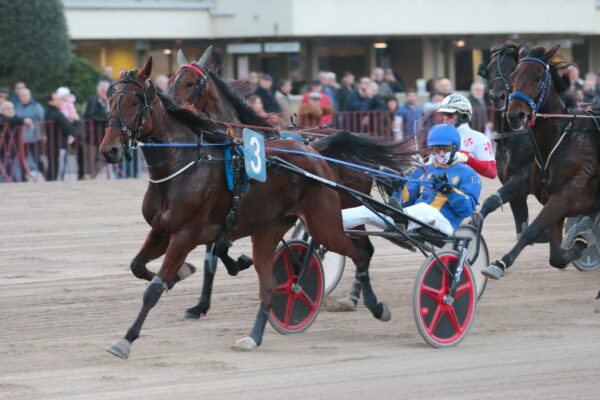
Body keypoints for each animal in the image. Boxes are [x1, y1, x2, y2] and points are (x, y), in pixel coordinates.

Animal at [99, 57, 398, 360]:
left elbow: (156, 287)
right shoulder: (162, 232)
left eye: (135, 101)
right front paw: (187, 280)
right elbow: (140, 266)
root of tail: (316, 151)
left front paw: (127, 339)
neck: (184, 164)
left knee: (361, 251)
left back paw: (368, 303)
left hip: (331, 219)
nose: (109, 150)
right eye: (110, 99)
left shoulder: (186, 234)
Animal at [168, 47, 422, 318]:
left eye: (191, 82)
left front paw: (241, 264)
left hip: (347, 201)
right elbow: (212, 255)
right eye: (172, 81)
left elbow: (220, 249)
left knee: (362, 247)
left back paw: (354, 296)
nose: (169, 105)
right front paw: (200, 304)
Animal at [480, 47, 600, 304]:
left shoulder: (560, 193)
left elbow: (531, 229)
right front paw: (578, 243)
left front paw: (499, 264)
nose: (502, 101)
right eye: (492, 69)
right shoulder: (540, 193)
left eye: (537, 77)